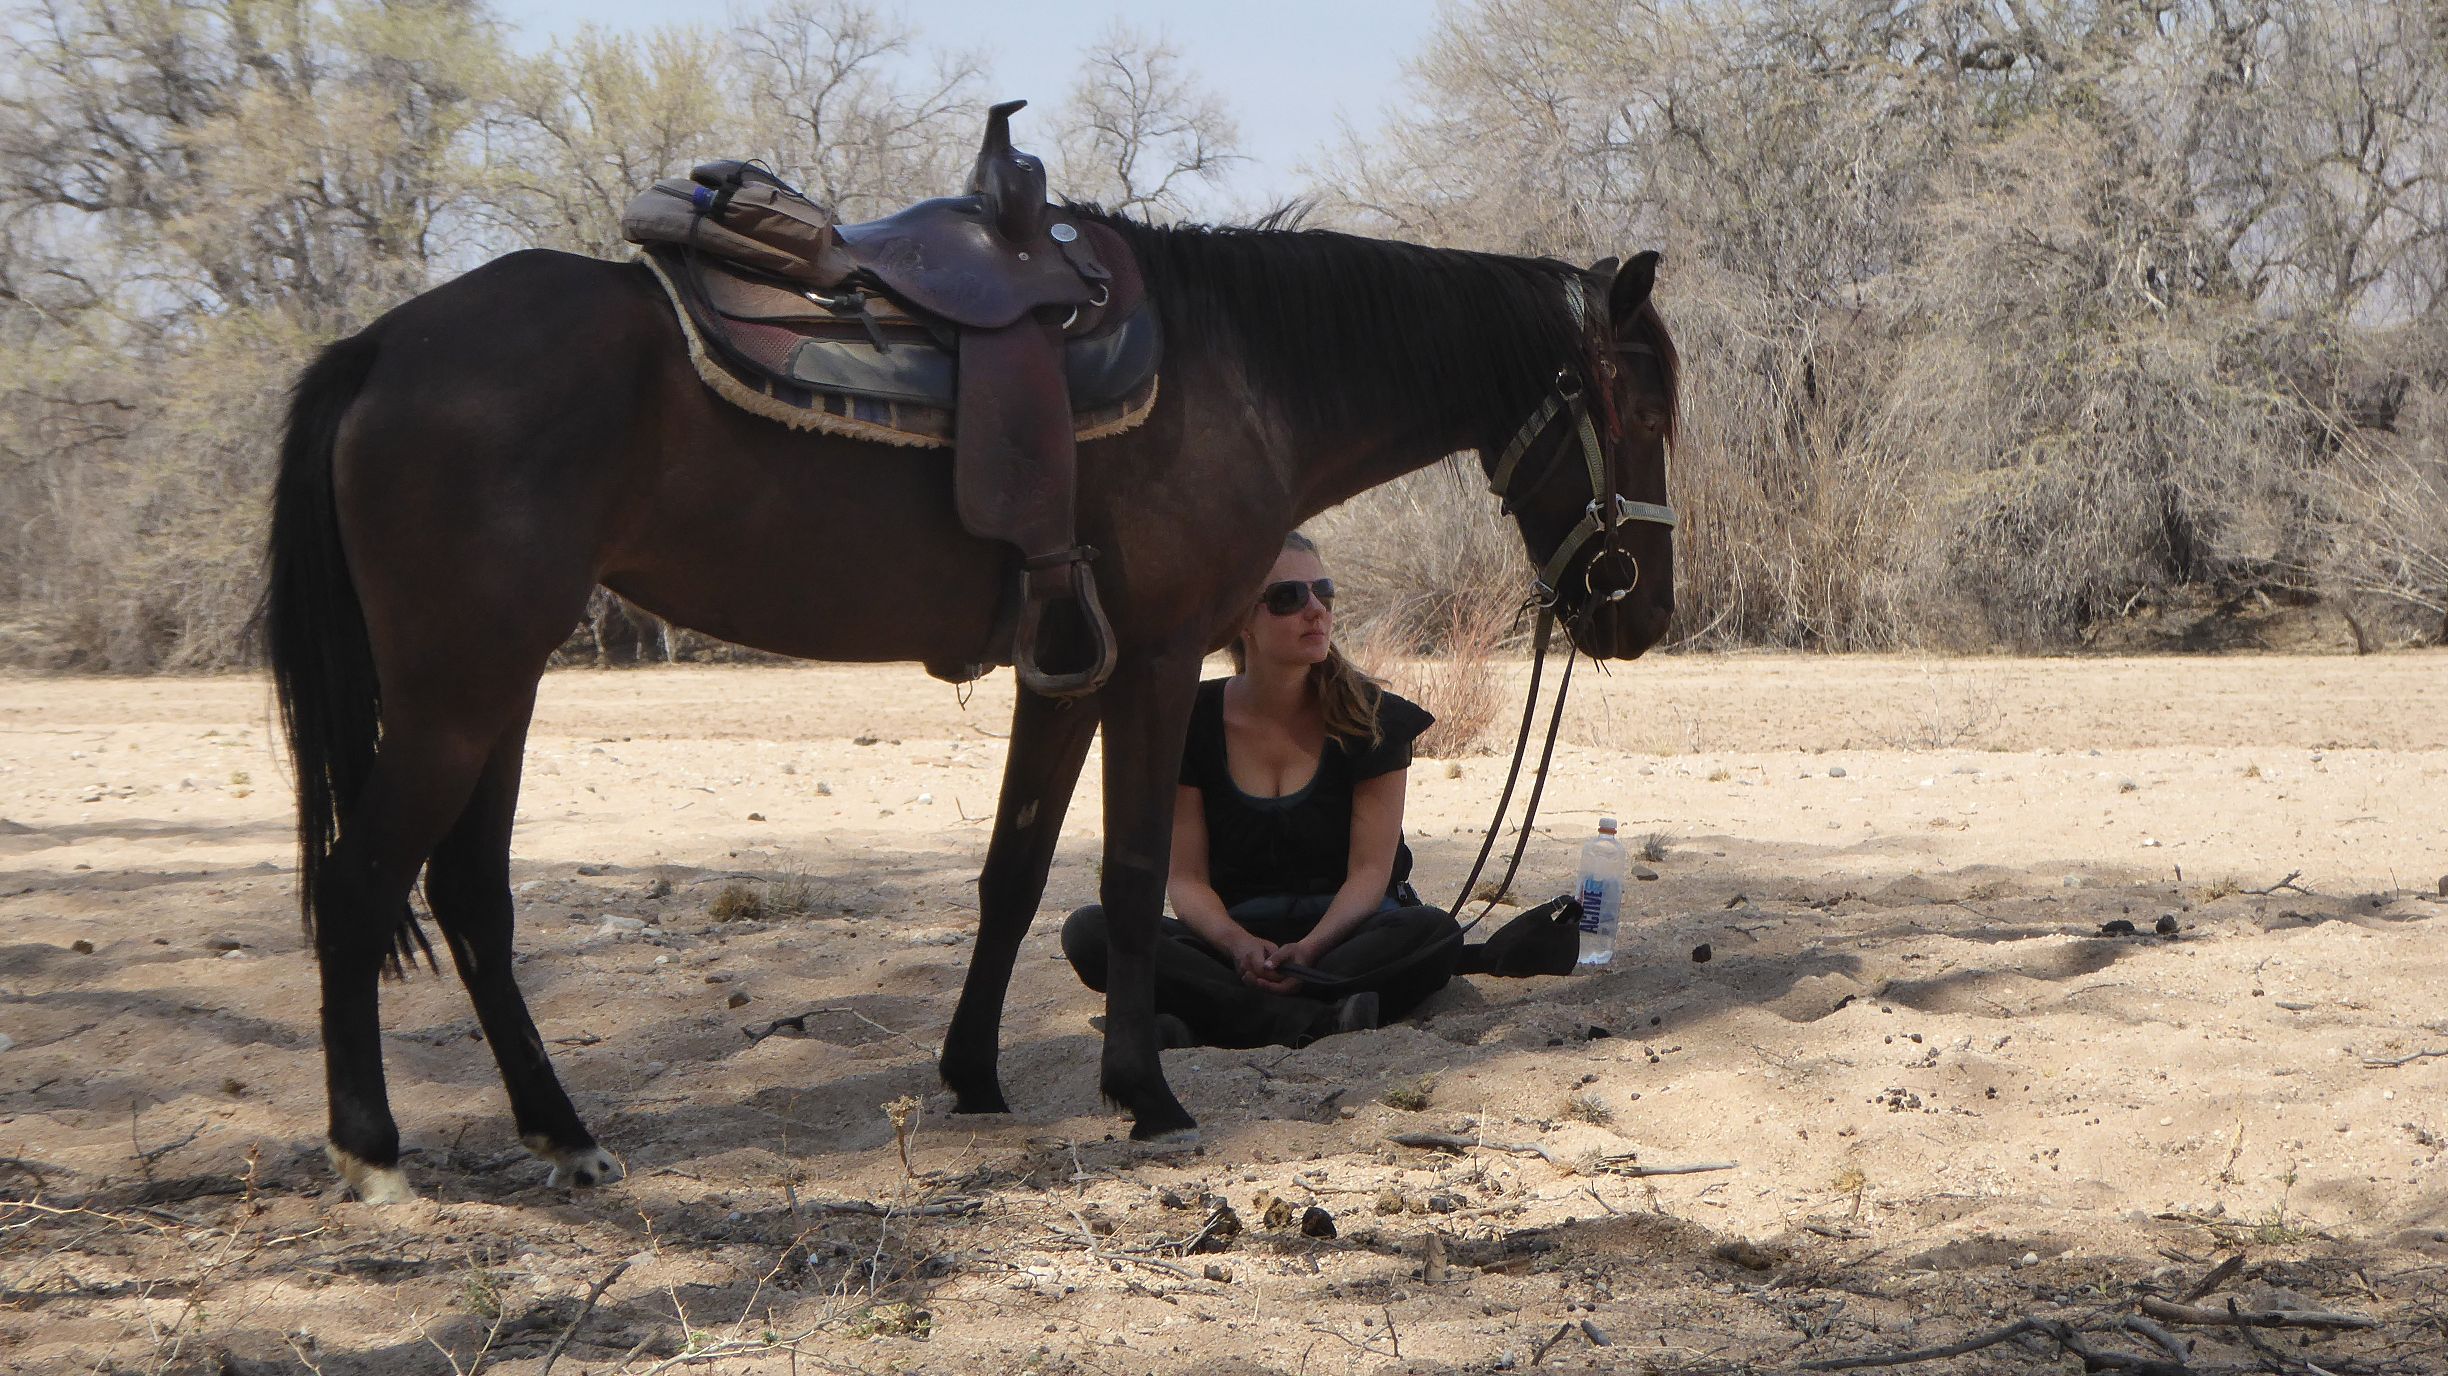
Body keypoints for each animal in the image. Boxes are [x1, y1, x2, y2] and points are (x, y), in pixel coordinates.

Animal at [268, 209, 1684, 1194]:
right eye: (1650, 403)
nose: (1641, 613)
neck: (1239, 370)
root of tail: (382, 343)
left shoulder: (1067, 673)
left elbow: (1014, 871)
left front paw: (977, 1076)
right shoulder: (1157, 659)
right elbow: (1126, 877)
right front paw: (1147, 1094)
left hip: (499, 689)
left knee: (469, 897)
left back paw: (564, 1135)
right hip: (457, 692)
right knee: (361, 882)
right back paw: (372, 1149)